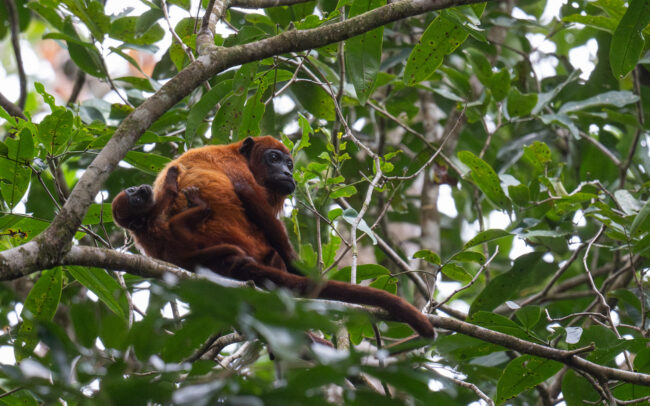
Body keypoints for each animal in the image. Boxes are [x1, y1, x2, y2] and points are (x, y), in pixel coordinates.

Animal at [112, 137, 435, 338]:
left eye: (290, 164)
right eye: (274, 158)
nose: (287, 173)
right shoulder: (233, 165)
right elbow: (248, 195)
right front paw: (297, 269)